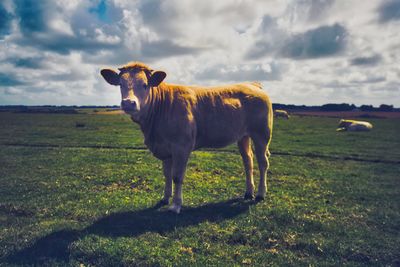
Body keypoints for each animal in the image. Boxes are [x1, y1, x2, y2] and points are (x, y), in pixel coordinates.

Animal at [101, 61, 274, 215]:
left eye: (144, 85)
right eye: (121, 84)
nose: (128, 103)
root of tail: (252, 84)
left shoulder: (181, 147)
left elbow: (177, 176)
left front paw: (176, 206)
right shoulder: (165, 149)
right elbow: (167, 175)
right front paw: (165, 198)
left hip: (262, 134)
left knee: (263, 162)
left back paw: (260, 194)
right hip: (243, 136)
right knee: (248, 161)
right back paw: (249, 192)